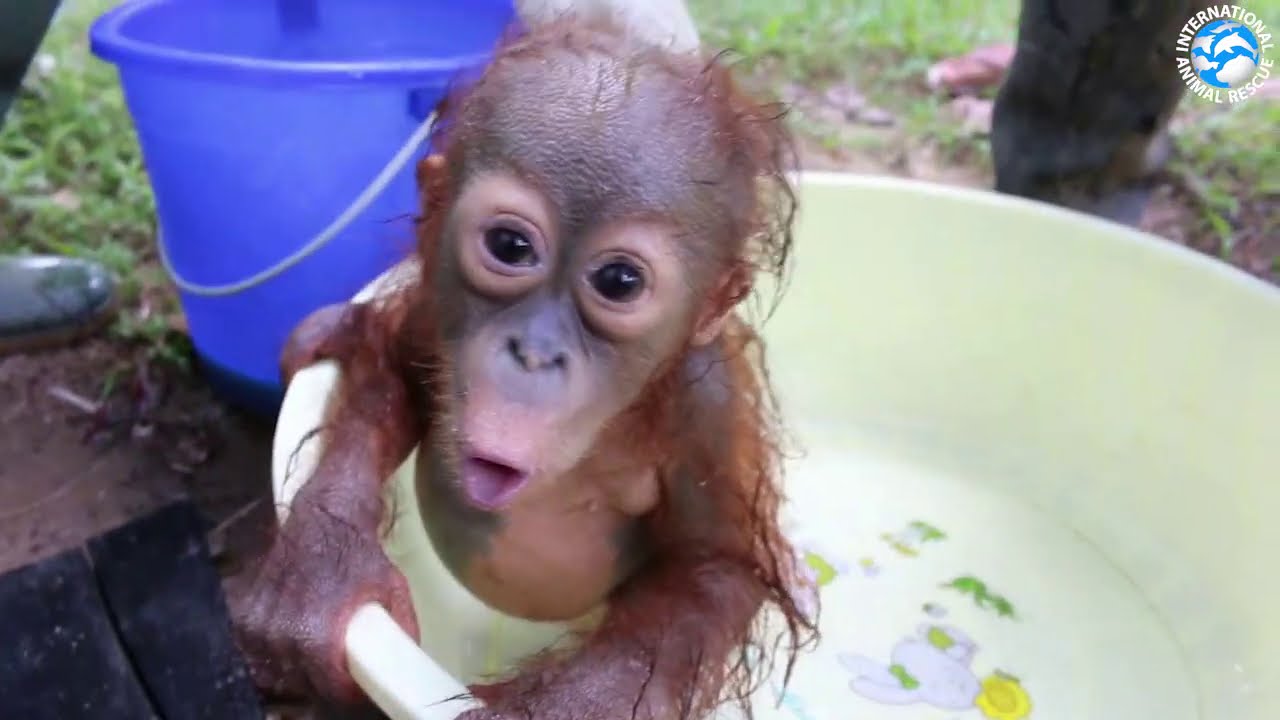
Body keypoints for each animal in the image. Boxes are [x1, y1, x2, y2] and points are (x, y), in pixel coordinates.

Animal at [228, 18, 818, 720]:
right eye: (510, 247)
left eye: (619, 282)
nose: (535, 354)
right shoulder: (433, 309)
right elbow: (391, 369)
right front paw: (320, 574)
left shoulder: (711, 404)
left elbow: (711, 568)